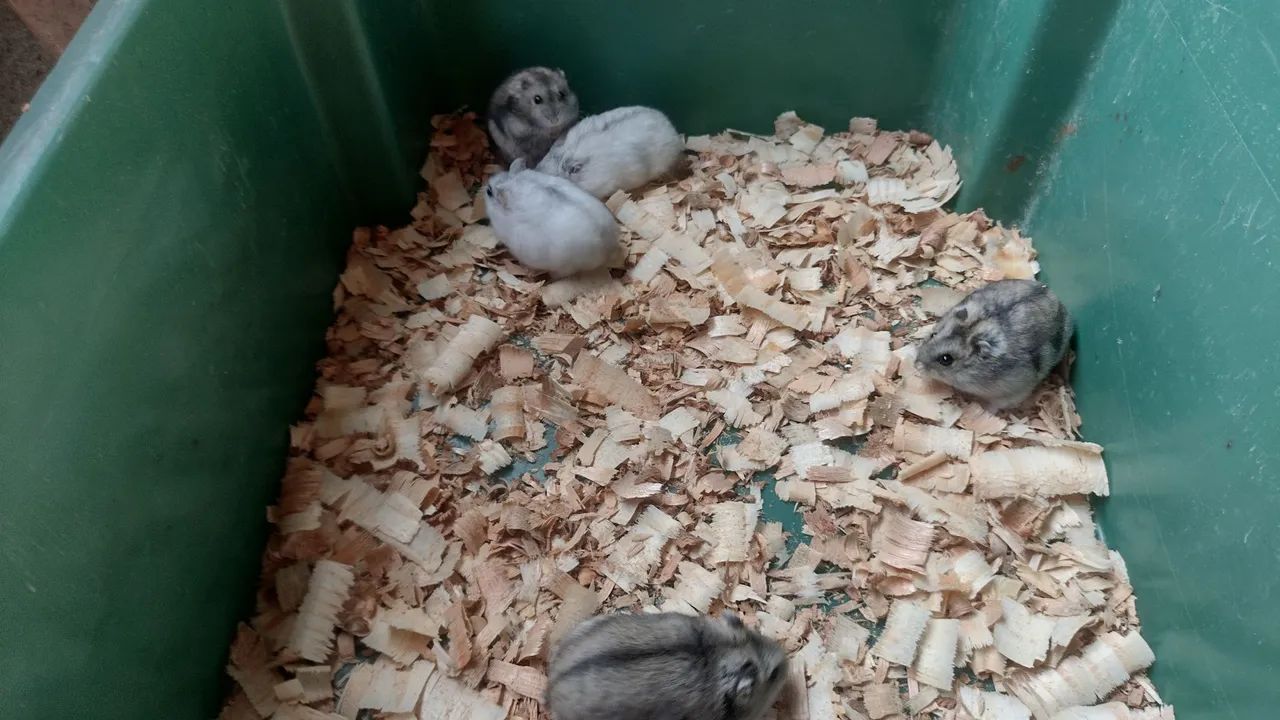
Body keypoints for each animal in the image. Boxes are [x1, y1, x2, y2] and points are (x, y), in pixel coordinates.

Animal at [915, 279, 1073, 409]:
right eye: (933, 334)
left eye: (946, 359)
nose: (916, 365)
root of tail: (1058, 300)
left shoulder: (1011, 392)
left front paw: (985, 410)